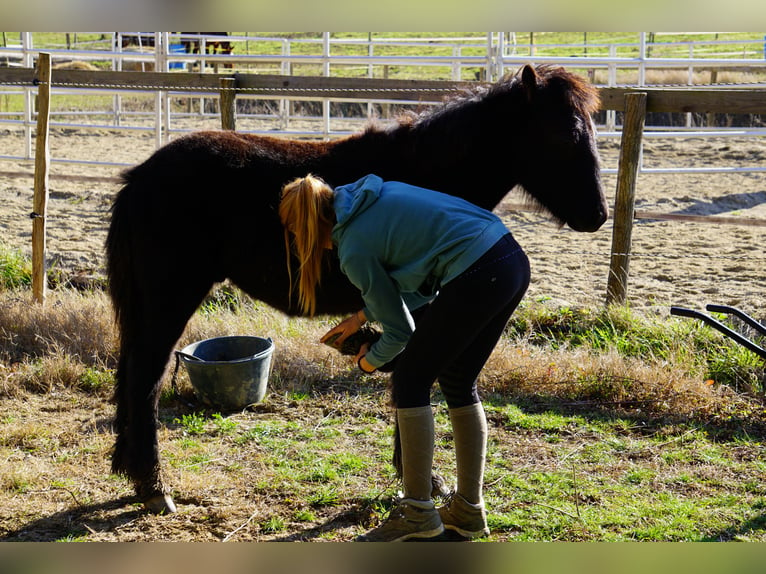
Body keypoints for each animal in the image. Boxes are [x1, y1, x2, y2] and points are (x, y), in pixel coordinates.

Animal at [105, 65, 608, 516]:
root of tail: (140, 177)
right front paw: (421, 479)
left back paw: (131, 472)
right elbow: (412, 379)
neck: (429, 171)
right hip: (169, 300)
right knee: (145, 378)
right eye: (563, 136)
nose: (598, 215)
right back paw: (155, 488)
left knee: (129, 373)